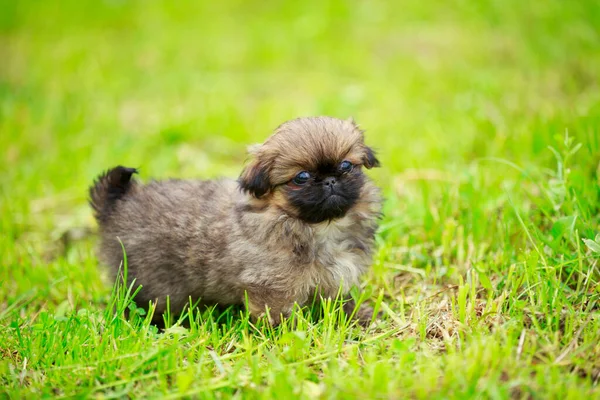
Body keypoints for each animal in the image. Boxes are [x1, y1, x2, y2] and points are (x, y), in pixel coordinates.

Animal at [91, 115, 382, 324]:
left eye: (346, 166)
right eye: (301, 177)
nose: (330, 180)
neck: (319, 227)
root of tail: (117, 204)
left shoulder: (334, 279)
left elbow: (341, 301)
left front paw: (361, 316)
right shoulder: (271, 288)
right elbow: (280, 317)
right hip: (151, 284)